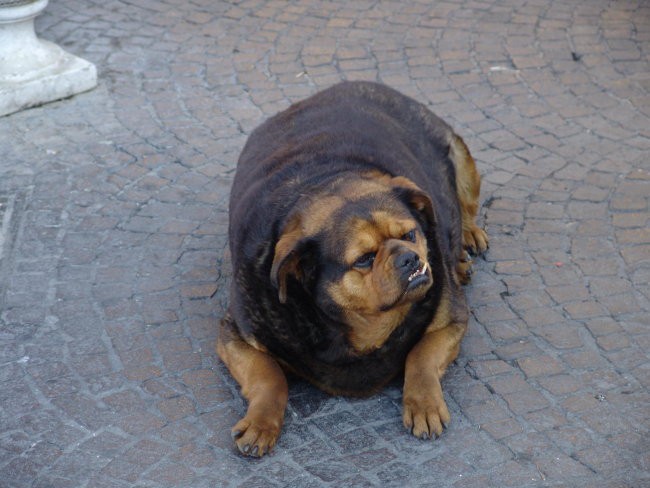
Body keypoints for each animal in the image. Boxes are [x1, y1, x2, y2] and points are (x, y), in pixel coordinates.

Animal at [218, 81, 486, 458]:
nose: (409, 258)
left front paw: (423, 402)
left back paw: (467, 240)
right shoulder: (235, 335)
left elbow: (421, 356)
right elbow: (268, 375)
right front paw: (261, 421)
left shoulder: (451, 320)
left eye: (410, 235)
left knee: (466, 206)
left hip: (460, 156)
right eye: (364, 259)